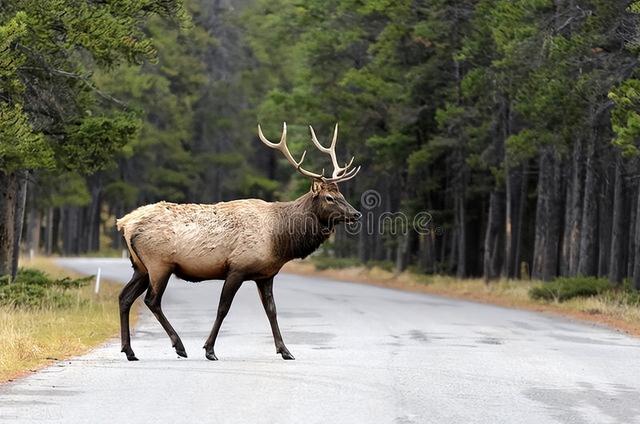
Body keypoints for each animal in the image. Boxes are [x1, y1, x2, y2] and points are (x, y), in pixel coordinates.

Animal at [116, 122, 360, 362]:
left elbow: (272, 310)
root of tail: (125, 223)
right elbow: (223, 308)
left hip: (141, 267)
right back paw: (179, 346)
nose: (356, 214)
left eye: (342, 195)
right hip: (159, 264)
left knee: (124, 297)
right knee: (152, 300)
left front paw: (285, 350)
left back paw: (129, 351)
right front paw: (209, 349)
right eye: (329, 197)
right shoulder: (237, 268)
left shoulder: (266, 274)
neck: (279, 240)